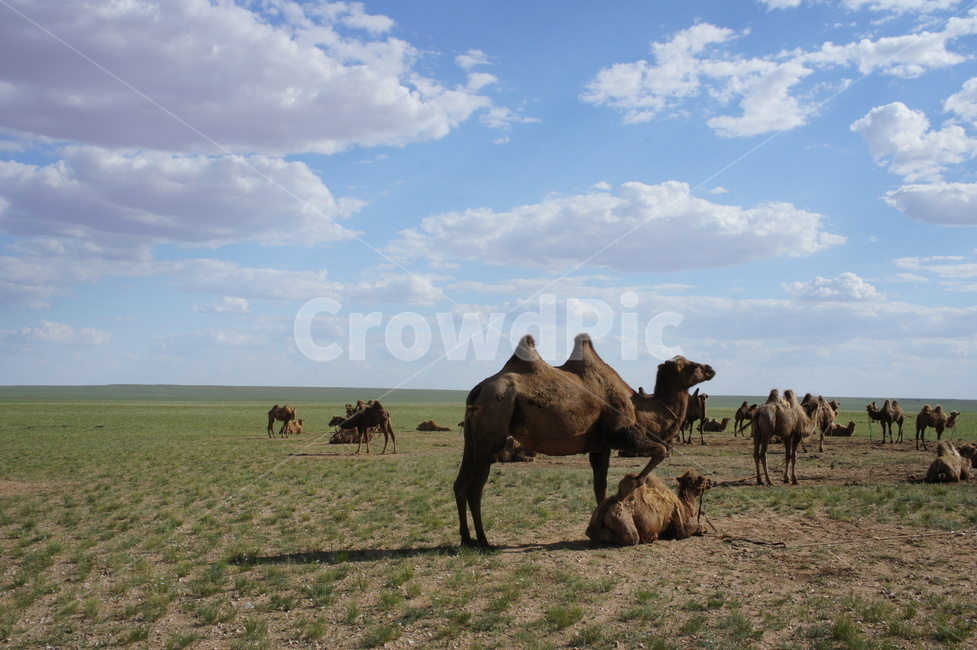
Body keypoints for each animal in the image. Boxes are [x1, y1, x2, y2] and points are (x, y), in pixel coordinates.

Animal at [454, 333, 715, 548]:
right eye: (690, 366)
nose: (710, 368)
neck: (638, 406)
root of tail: (477, 390)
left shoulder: (600, 447)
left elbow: (600, 486)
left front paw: (599, 525)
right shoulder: (618, 432)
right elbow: (661, 450)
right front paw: (635, 482)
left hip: (472, 438)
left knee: (459, 484)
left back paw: (466, 539)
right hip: (493, 427)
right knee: (474, 487)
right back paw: (484, 541)